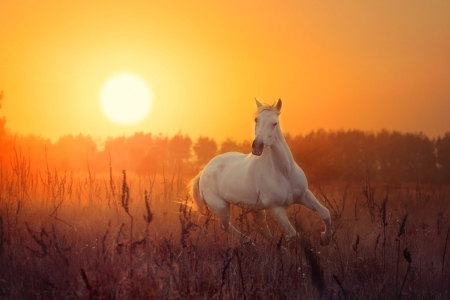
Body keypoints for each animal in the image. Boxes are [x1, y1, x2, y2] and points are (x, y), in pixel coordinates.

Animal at [188, 99, 332, 245]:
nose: (257, 146)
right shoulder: (277, 209)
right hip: (221, 208)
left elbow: (325, 213)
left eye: (275, 123)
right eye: (256, 119)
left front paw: (325, 238)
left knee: (262, 227)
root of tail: (203, 171)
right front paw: (283, 241)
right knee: (226, 226)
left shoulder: (304, 195)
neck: (284, 173)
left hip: (256, 209)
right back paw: (249, 242)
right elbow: (294, 234)